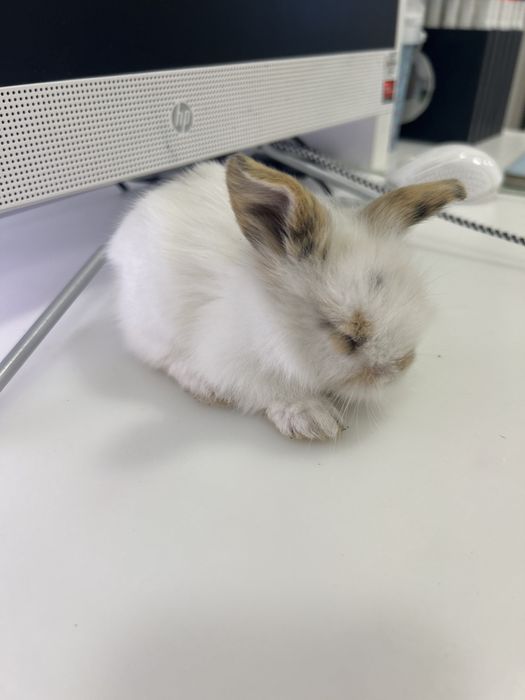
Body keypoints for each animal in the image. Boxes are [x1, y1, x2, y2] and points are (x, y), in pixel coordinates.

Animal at [107, 154, 465, 440]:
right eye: (347, 337)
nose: (400, 368)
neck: (272, 317)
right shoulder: (234, 363)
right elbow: (274, 388)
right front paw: (314, 420)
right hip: (154, 324)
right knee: (162, 358)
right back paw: (203, 387)